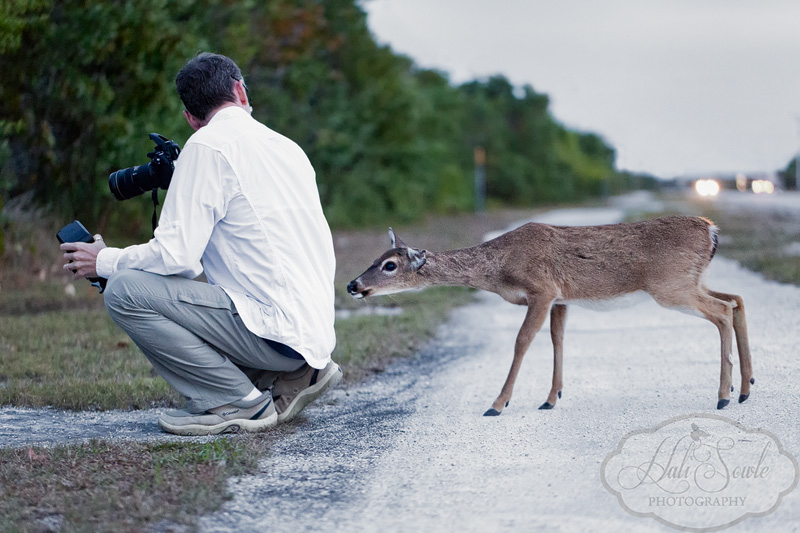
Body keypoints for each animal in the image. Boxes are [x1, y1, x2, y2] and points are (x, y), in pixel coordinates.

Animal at [346, 216, 754, 416]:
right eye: (376, 259)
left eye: (389, 265)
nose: (352, 284)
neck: (499, 268)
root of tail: (711, 229)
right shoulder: (561, 299)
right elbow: (558, 339)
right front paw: (551, 398)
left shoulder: (541, 290)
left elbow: (522, 341)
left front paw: (498, 404)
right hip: (690, 280)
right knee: (736, 299)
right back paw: (746, 387)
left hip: (670, 286)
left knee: (722, 309)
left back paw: (723, 394)